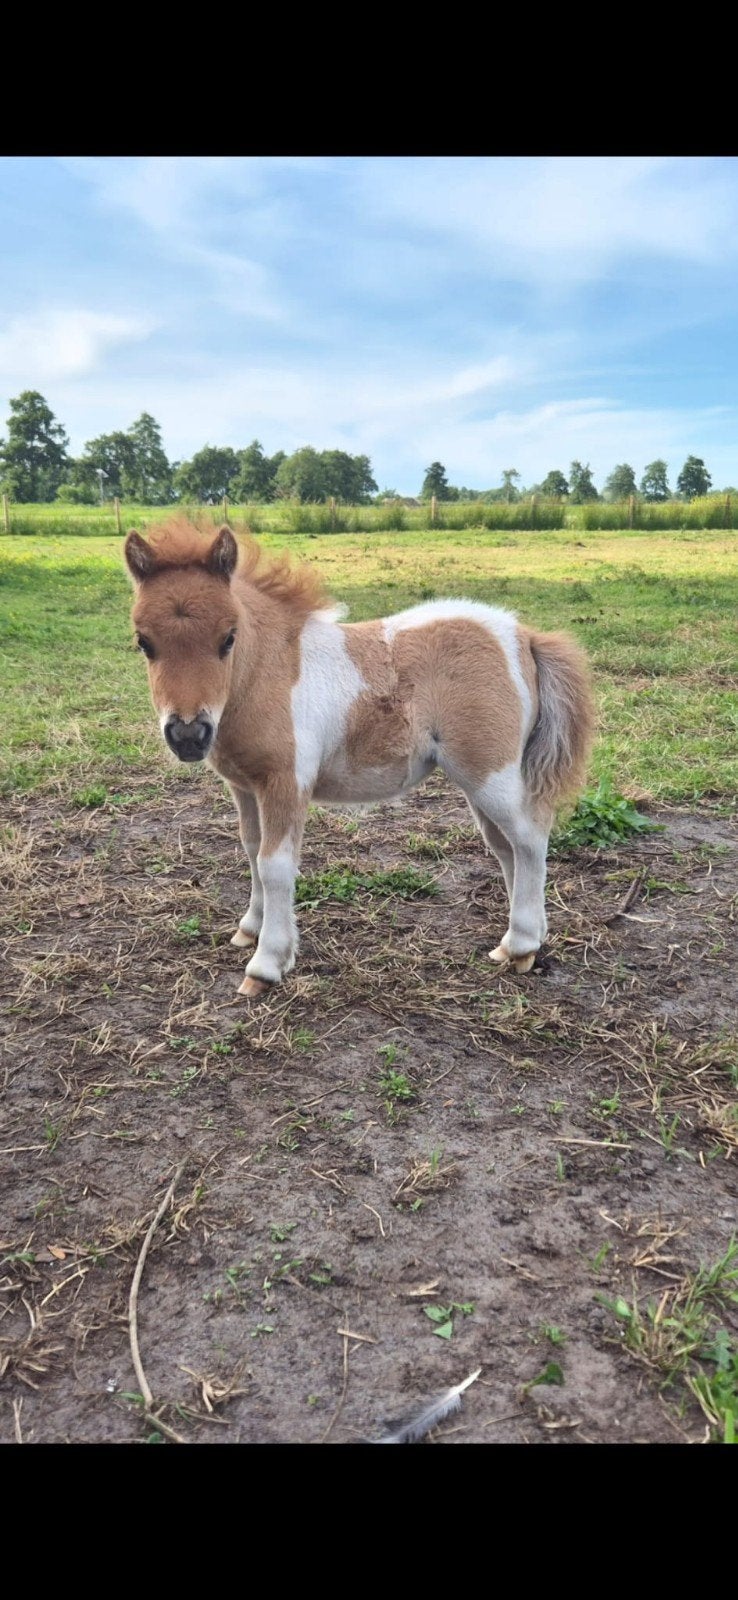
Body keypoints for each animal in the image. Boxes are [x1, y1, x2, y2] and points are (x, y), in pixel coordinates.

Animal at [124, 518, 594, 998]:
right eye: (144, 642)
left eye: (229, 638)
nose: (188, 736)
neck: (268, 675)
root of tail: (524, 637)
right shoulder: (244, 785)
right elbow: (252, 852)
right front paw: (250, 928)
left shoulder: (286, 782)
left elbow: (275, 866)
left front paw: (267, 963)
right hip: (481, 781)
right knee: (505, 847)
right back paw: (517, 945)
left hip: (490, 775)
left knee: (530, 839)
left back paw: (522, 943)